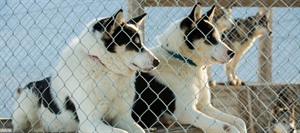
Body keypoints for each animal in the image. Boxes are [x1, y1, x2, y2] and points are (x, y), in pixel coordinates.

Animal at [13, 9, 159, 133]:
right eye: (133, 43)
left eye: (141, 42)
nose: (157, 62)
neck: (106, 69)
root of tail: (33, 83)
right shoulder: (90, 122)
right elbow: (122, 132)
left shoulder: (122, 117)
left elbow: (140, 130)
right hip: (28, 103)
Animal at [133, 3, 246, 133]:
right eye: (209, 38)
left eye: (218, 37)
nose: (232, 53)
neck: (183, 60)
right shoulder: (186, 112)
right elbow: (229, 127)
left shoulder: (204, 106)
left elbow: (240, 122)